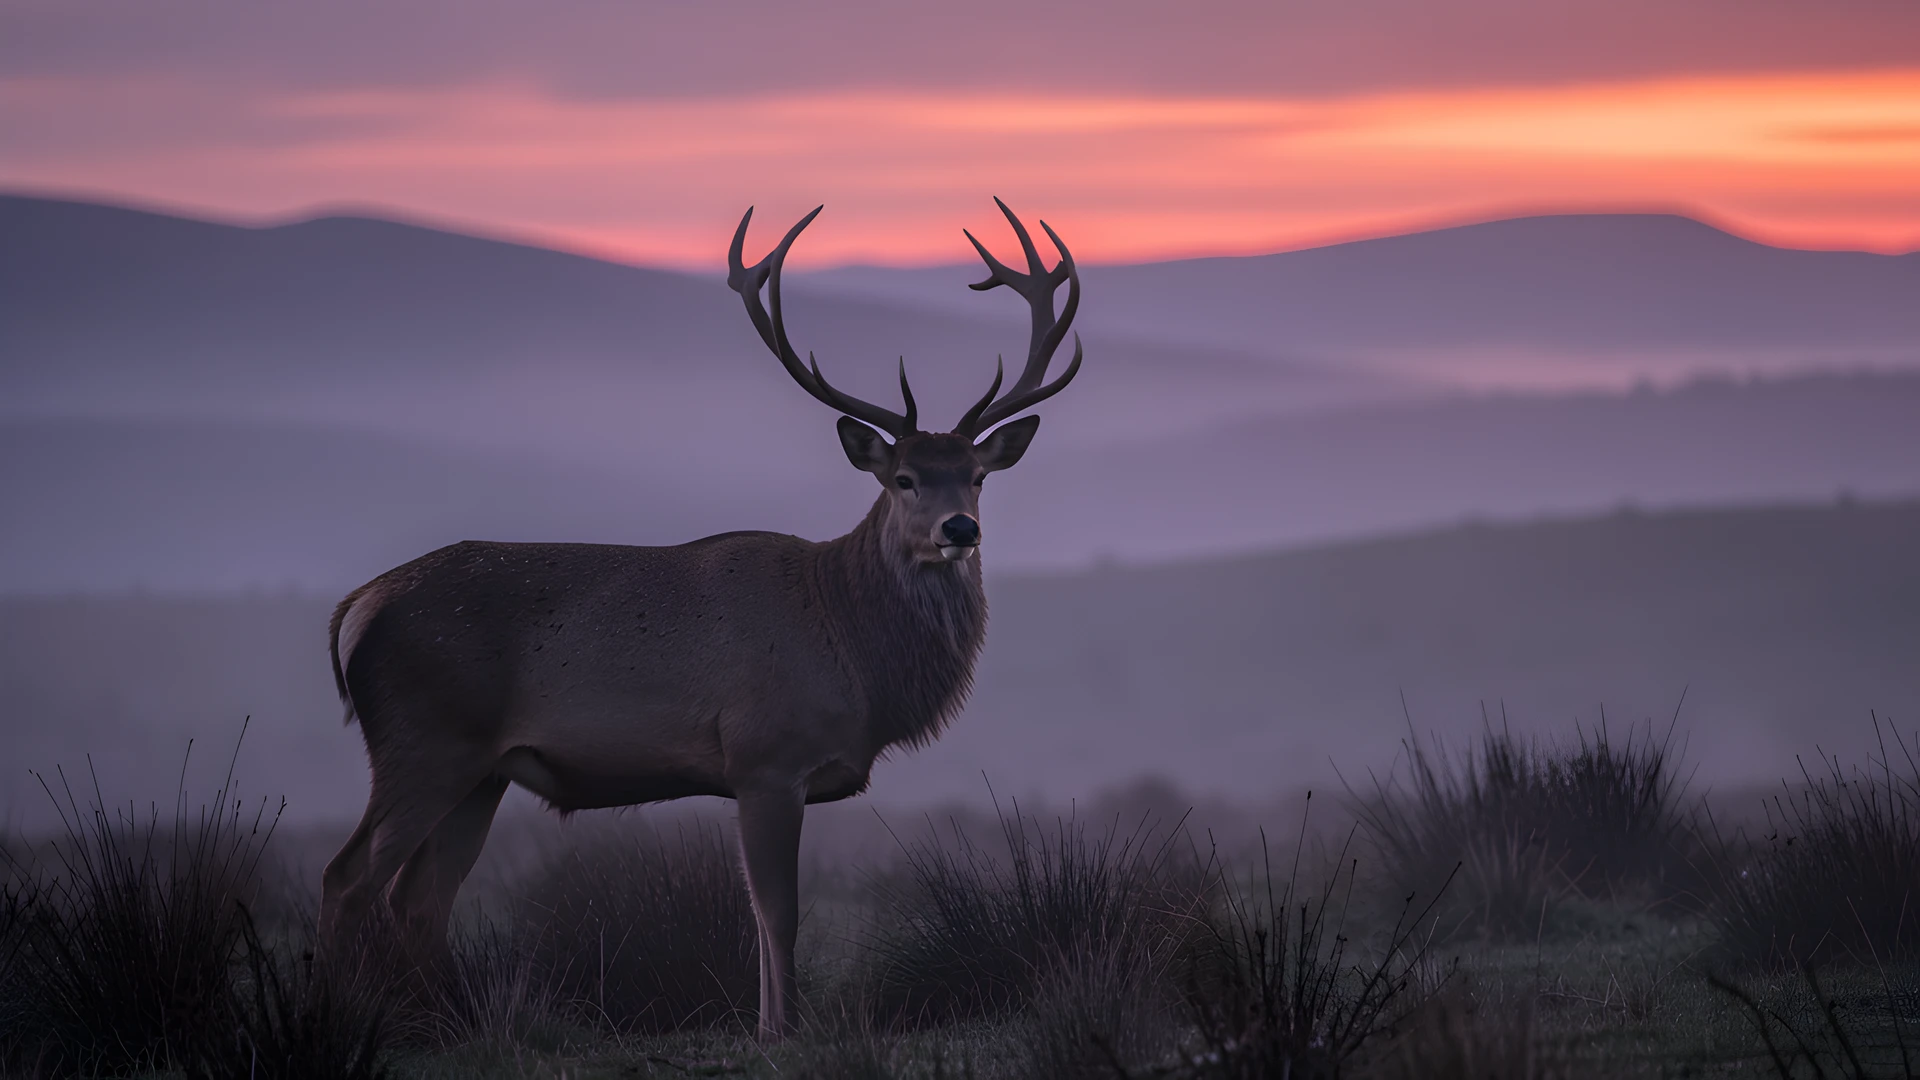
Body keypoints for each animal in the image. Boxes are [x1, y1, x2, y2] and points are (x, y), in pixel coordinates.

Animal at [316, 198, 1083, 1039]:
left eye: (977, 476)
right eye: (905, 478)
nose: (960, 529)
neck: (850, 645)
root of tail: (356, 608)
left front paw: (771, 1023)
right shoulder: (765, 756)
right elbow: (777, 912)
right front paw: (779, 1029)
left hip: (482, 768)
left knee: (420, 896)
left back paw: (455, 1023)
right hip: (424, 739)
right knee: (348, 878)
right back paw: (345, 1015)